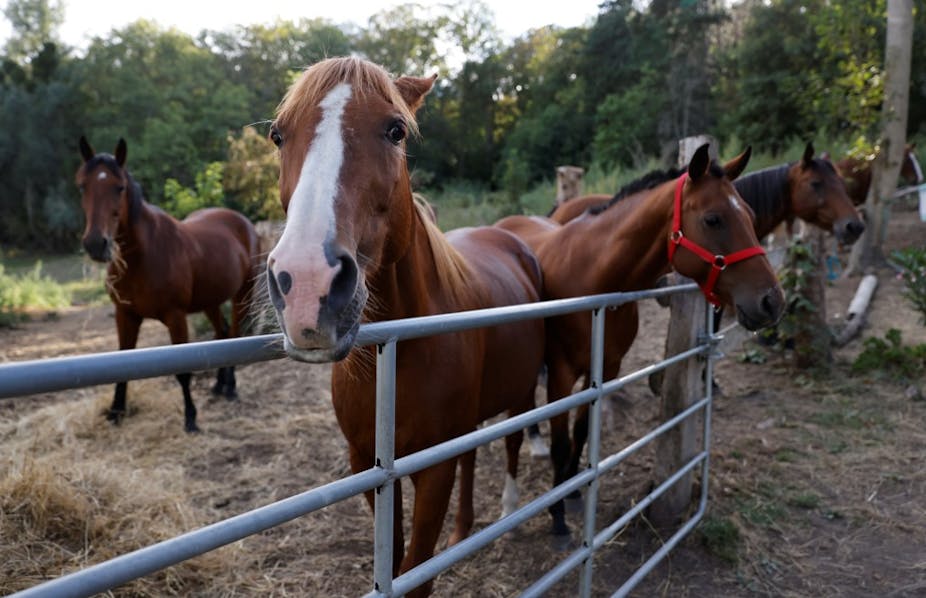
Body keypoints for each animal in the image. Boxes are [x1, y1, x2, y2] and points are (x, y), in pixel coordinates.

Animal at [76, 137, 260, 432]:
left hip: (243, 294)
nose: (96, 243)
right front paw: (116, 411)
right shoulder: (125, 315)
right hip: (210, 301)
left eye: (119, 187)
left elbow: (183, 371)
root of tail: (243, 222)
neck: (142, 257)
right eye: (82, 185)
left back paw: (230, 387)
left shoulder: (175, 317)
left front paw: (191, 418)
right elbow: (121, 360)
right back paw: (219, 386)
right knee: (221, 333)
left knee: (233, 334)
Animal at [263, 56, 545, 597]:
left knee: (513, 442)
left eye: (395, 130)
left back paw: (508, 510)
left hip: (520, 392)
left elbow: (415, 576)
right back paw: (464, 528)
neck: (396, 355)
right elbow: (392, 562)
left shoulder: (433, 471)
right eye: (277, 135)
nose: (306, 285)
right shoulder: (368, 464)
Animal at [496, 144, 785, 538]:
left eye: (752, 216)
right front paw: (556, 514)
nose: (772, 302)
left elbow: (581, 432)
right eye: (713, 219)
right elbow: (562, 442)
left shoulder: (604, 368)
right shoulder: (561, 373)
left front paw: (573, 490)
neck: (592, 276)